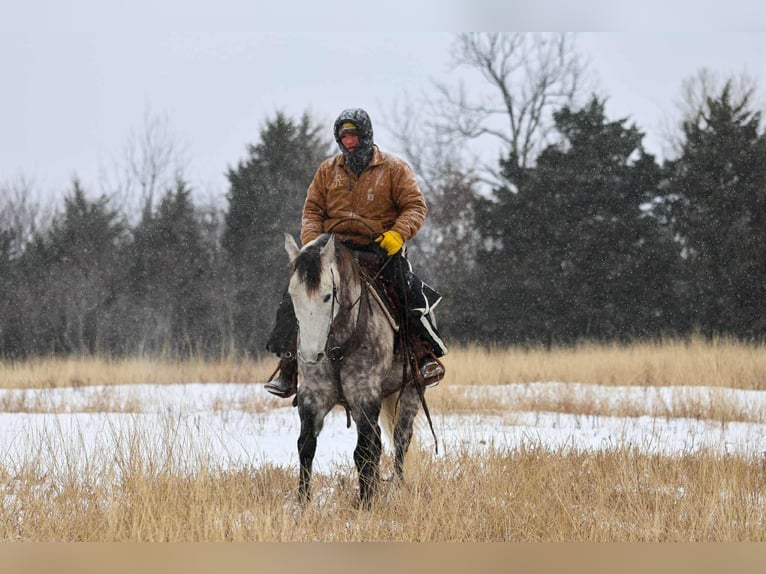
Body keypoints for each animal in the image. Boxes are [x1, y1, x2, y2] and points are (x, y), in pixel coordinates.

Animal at [284, 232, 429, 507]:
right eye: (292, 295)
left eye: (327, 295)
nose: (310, 355)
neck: (338, 345)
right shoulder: (312, 396)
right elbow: (305, 446)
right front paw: (303, 503)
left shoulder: (365, 395)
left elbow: (363, 452)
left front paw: (365, 504)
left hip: (411, 393)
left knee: (400, 439)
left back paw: (396, 489)